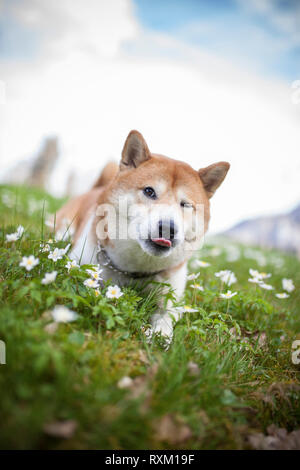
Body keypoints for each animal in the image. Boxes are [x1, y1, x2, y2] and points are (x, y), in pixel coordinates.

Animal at [56, 130, 230, 344]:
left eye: (185, 204)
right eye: (149, 191)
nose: (168, 228)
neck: (135, 271)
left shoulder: (170, 297)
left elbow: (166, 318)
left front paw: (160, 334)